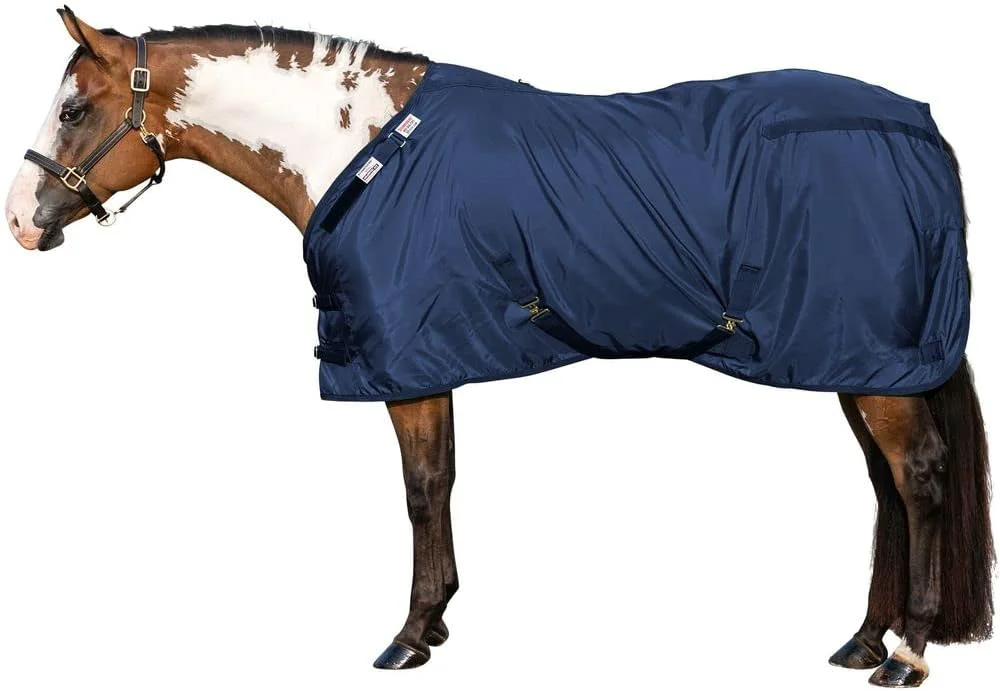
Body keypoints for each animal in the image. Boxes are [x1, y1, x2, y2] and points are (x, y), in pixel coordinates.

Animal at [5, 8, 993, 686]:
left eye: (74, 109)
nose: (20, 222)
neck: (367, 152)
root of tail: (921, 129)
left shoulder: (406, 362)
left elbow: (420, 490)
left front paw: (409, 635)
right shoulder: (429, 358)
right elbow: (441, 483)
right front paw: (436, 621)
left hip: (875, 367)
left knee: (920, 479)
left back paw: (906, 651)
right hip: (857, 363)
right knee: (887, 488)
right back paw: (864, 637)